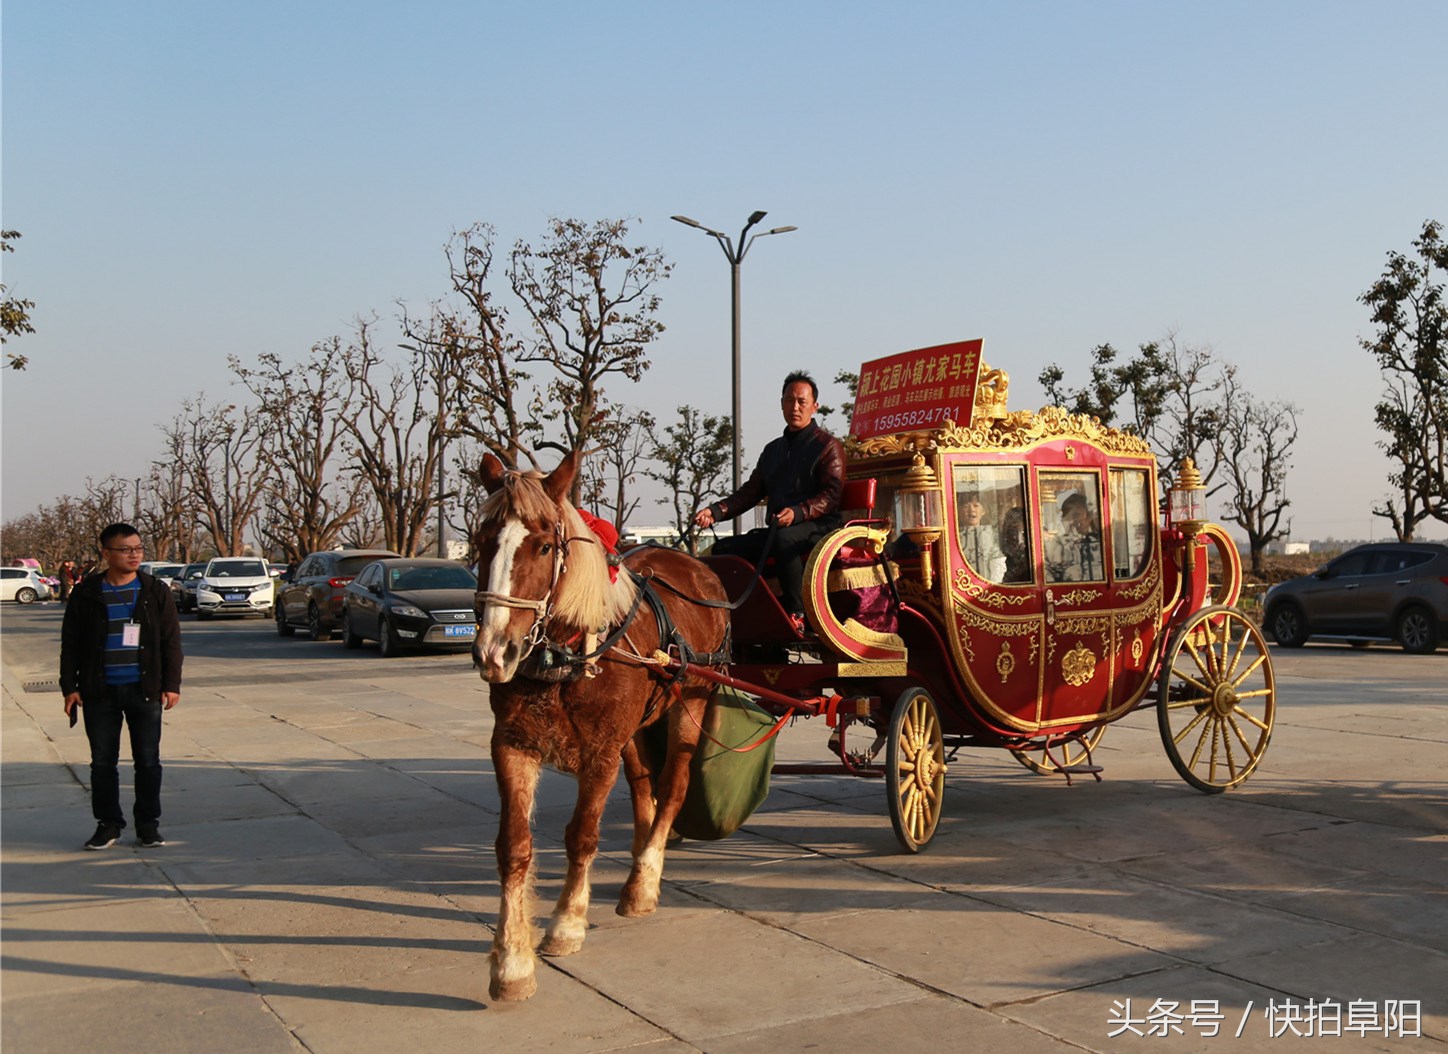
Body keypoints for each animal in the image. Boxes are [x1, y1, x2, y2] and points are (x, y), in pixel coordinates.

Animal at [472, 448, 729, 1001]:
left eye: (545, 545)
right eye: (483, 542)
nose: (493, 651)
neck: (564, 654)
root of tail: (696, 564)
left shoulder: (599, 751)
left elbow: (581, 835)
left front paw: (567, 922)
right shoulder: (512, 745)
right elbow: (514, 846)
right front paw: (511, 962)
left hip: (692, 700)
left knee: (672, 786)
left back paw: (644, 880)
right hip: (635, 729)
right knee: (642, 786)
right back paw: (640, 857)